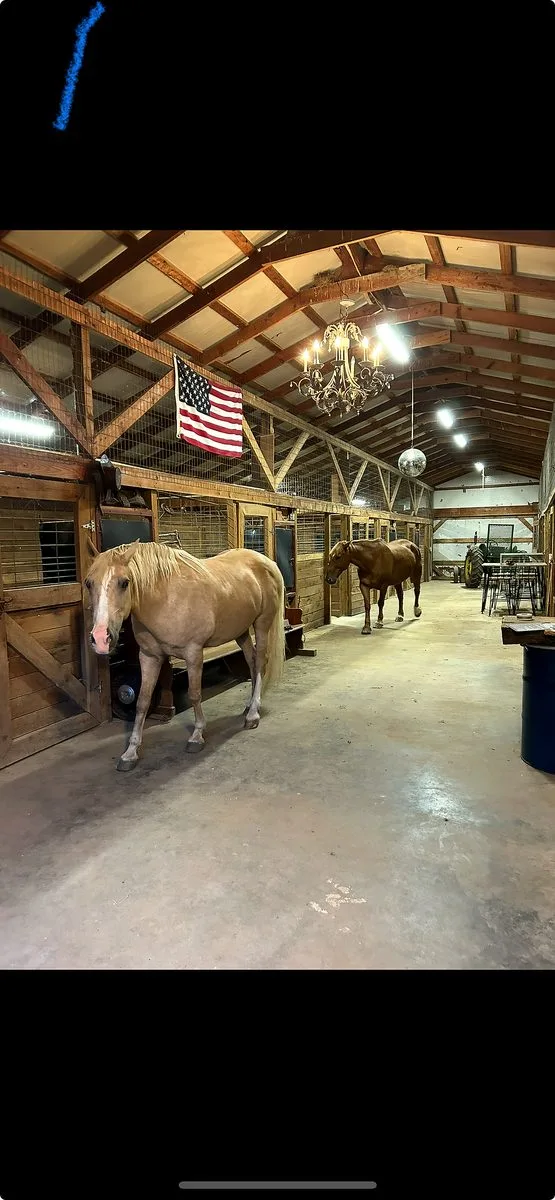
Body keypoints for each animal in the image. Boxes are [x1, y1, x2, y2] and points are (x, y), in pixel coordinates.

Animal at [84, 540, 285, 771]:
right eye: (88, 583)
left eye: (125, 583)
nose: (101, 638)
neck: (165, 598)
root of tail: (266, 561)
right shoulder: (149, 657)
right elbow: (142, 701)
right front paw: (130, 753)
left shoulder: (193, 653)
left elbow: (194, 694)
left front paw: (197, 736)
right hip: (241, 631)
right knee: (251, 662)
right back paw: (250, 704)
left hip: (261, 624)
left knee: (260, 662)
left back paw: (253, 715)